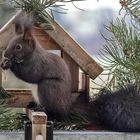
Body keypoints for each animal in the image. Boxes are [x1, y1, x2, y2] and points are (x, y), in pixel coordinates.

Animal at [1, 14, 140, 132]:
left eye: (18, 47)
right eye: (9, 43)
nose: (5, 54)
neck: (31, 55)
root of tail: (66, 106)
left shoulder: (38, 64)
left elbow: (30, 75)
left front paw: (10, 64)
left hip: (48, 87)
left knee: (56, 113)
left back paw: (43, 109)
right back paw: (33, 104)